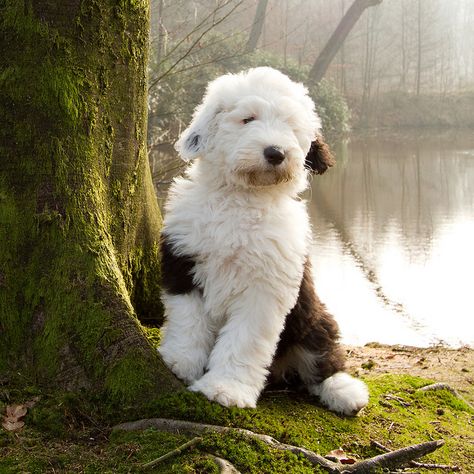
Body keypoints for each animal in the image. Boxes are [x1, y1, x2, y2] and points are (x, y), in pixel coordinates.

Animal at [157, 66, 368, 414]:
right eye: (248, 119)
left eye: (291, 126)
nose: (275, 152)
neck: (243, 199)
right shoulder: (184, 263)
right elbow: (187, 322)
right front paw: (178, 362)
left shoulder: (264, 290)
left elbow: (244, 340)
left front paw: (225, 388)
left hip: (312, 315)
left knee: (323, 356)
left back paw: (345, 392)